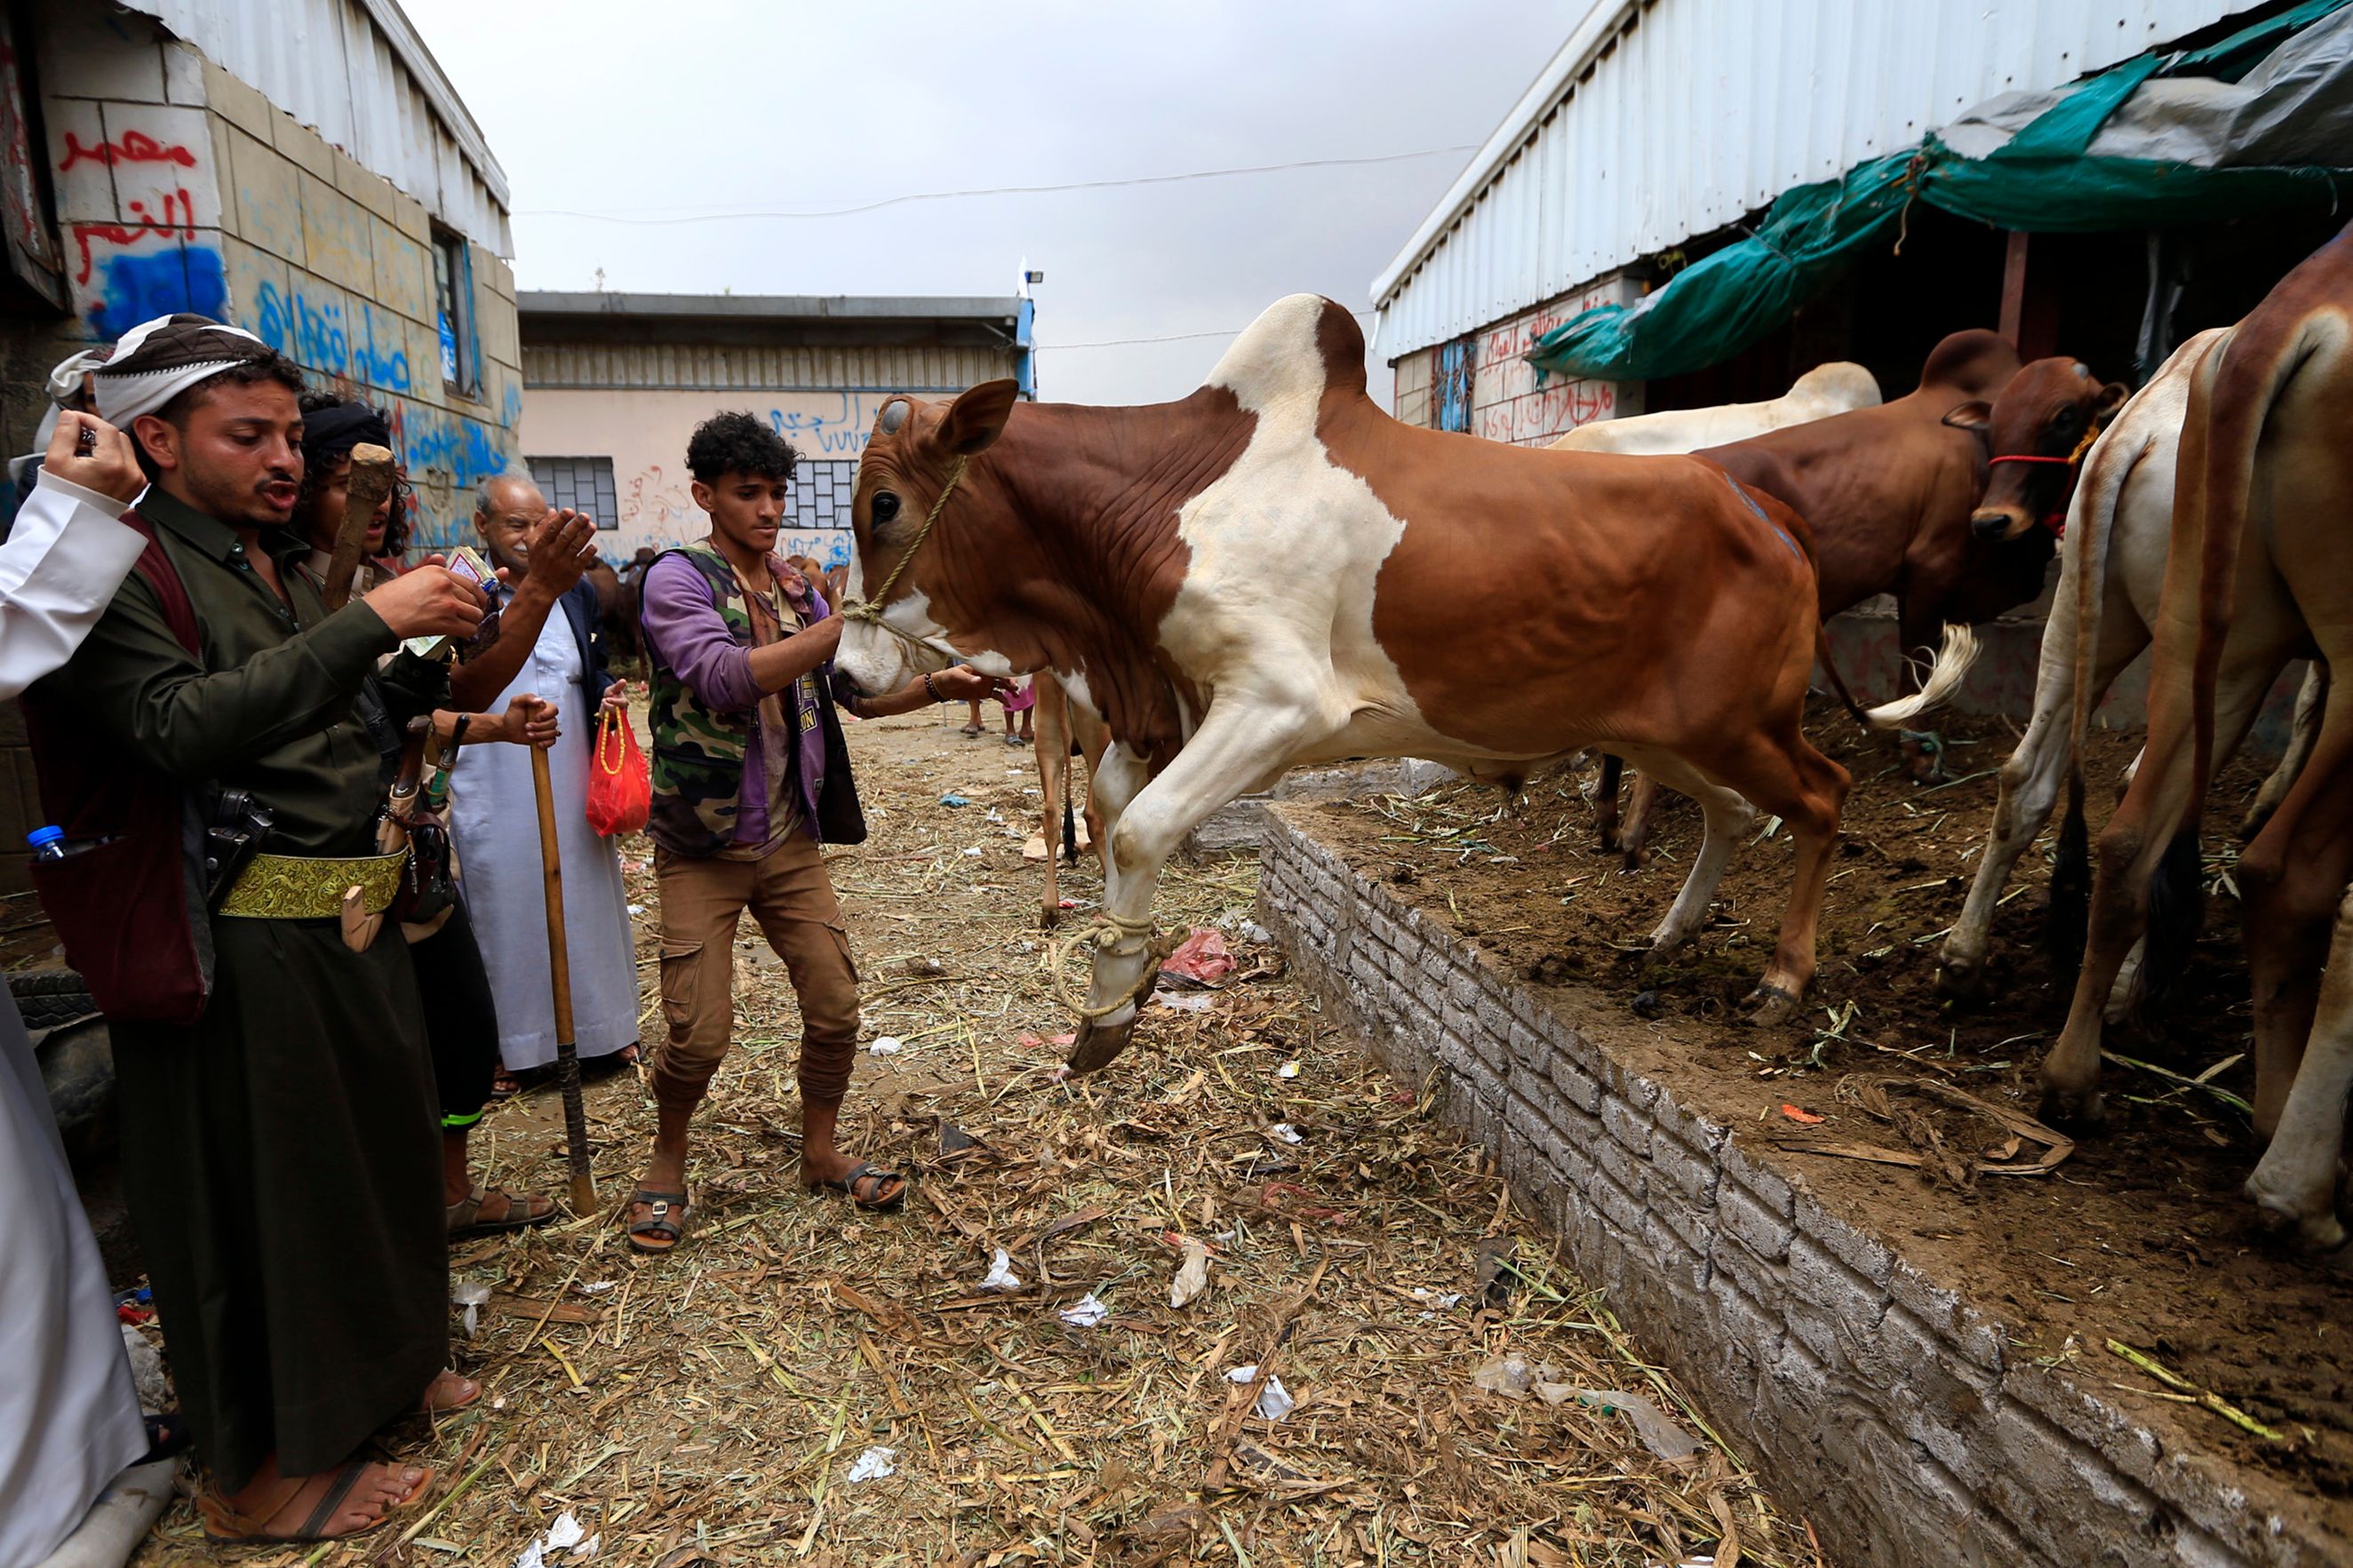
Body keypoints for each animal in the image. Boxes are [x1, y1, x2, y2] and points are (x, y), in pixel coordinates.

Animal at [828, 291, 1966, 1081]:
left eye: (883, 503)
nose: (839, 675)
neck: (1165, 499)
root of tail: (1764, 509)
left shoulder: (1277, 701)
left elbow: (1140, 828)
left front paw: (1109, 1006)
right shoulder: (1163, 703)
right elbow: (1109, 812)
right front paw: (1121, 980)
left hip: (1741, 723)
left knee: (1821, 797)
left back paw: (1783, 975)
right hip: (1664, 732)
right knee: (1734, 812)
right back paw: (1668, 932)